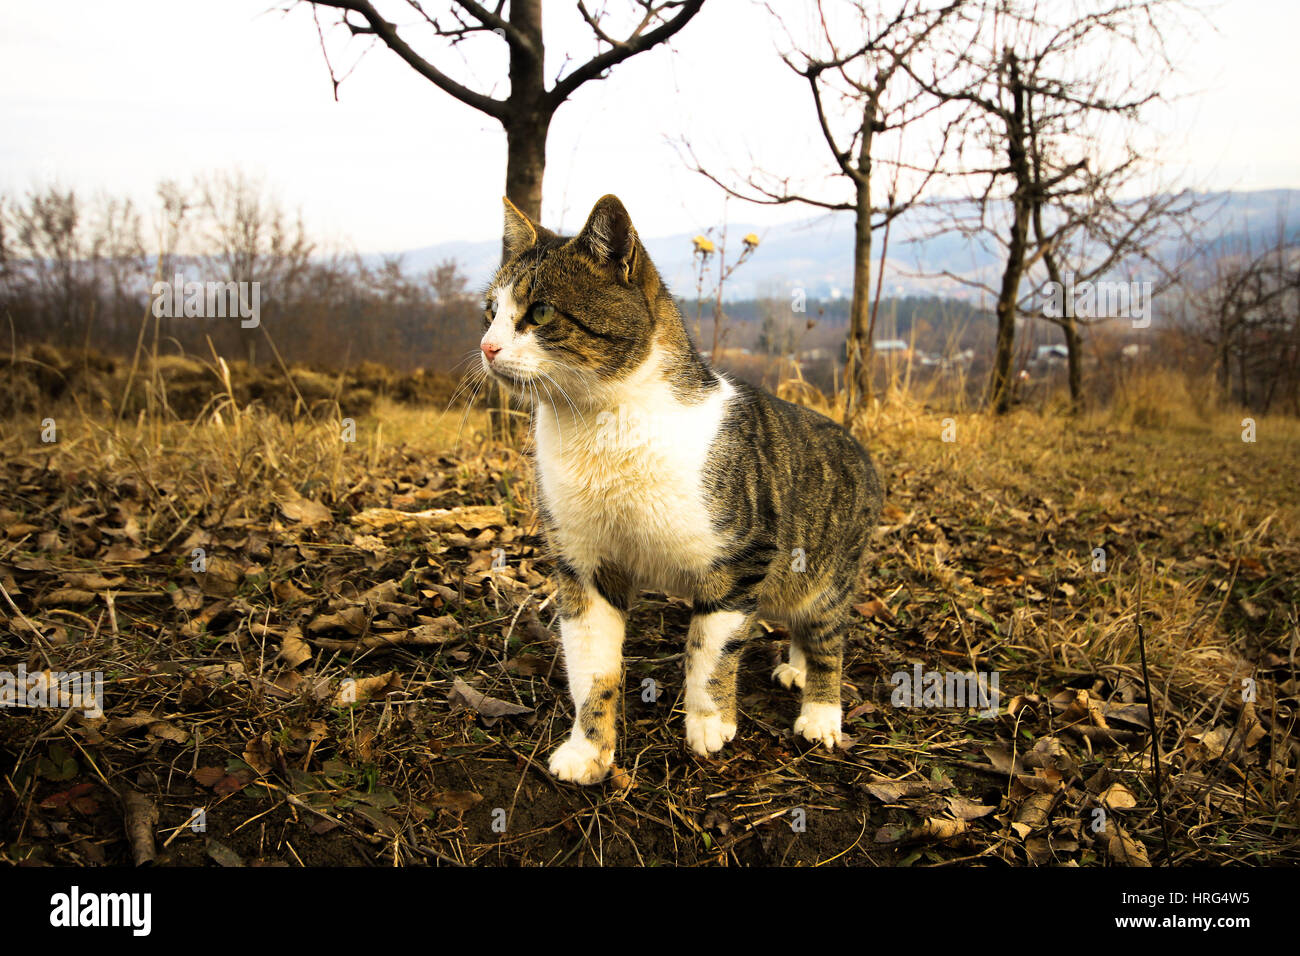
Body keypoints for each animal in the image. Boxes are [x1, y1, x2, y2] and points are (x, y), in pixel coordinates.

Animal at [478, 195, 883, 785]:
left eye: (542, 313)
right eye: (490, 311)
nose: (487, 346)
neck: (602, 427)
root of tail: (857, 445)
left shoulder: (743, 559)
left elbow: (709, 650)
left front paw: (709, 723)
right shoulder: (584, 564)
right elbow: (592, 668)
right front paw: (588, 750)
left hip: (825, 570)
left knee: (826, 633)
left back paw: (820, 711)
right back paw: (796, 668)